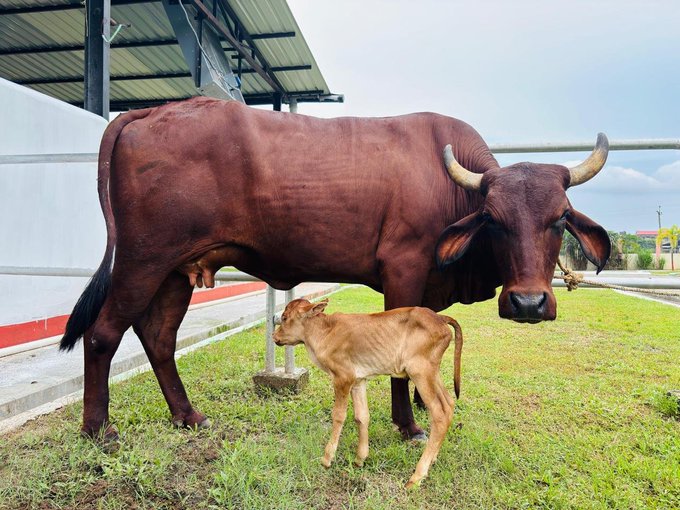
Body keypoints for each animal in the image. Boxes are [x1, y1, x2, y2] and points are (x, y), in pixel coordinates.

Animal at [60, 97, 610, 441]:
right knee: (103, 334)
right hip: (142, 260)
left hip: (177, 270)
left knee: (158, 338)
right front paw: (408, 425)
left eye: (559, 217)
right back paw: (98, 430)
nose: (528, 303)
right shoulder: (403, 269)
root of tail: (154, 110)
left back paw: (189, 416)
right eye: (493, 220)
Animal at [273, 298, 464, 488]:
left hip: (420, 372)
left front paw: (327, 459)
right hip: (432, 373)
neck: (324, 331)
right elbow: (362, 416)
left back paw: (417, 476)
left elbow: (338, 416)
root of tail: (440, 317)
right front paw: (360, 459)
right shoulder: (358, 380)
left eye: (284, 317)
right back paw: (433, 458)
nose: (274, 336)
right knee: (449, 403)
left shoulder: (343, 378)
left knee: (439, 412)